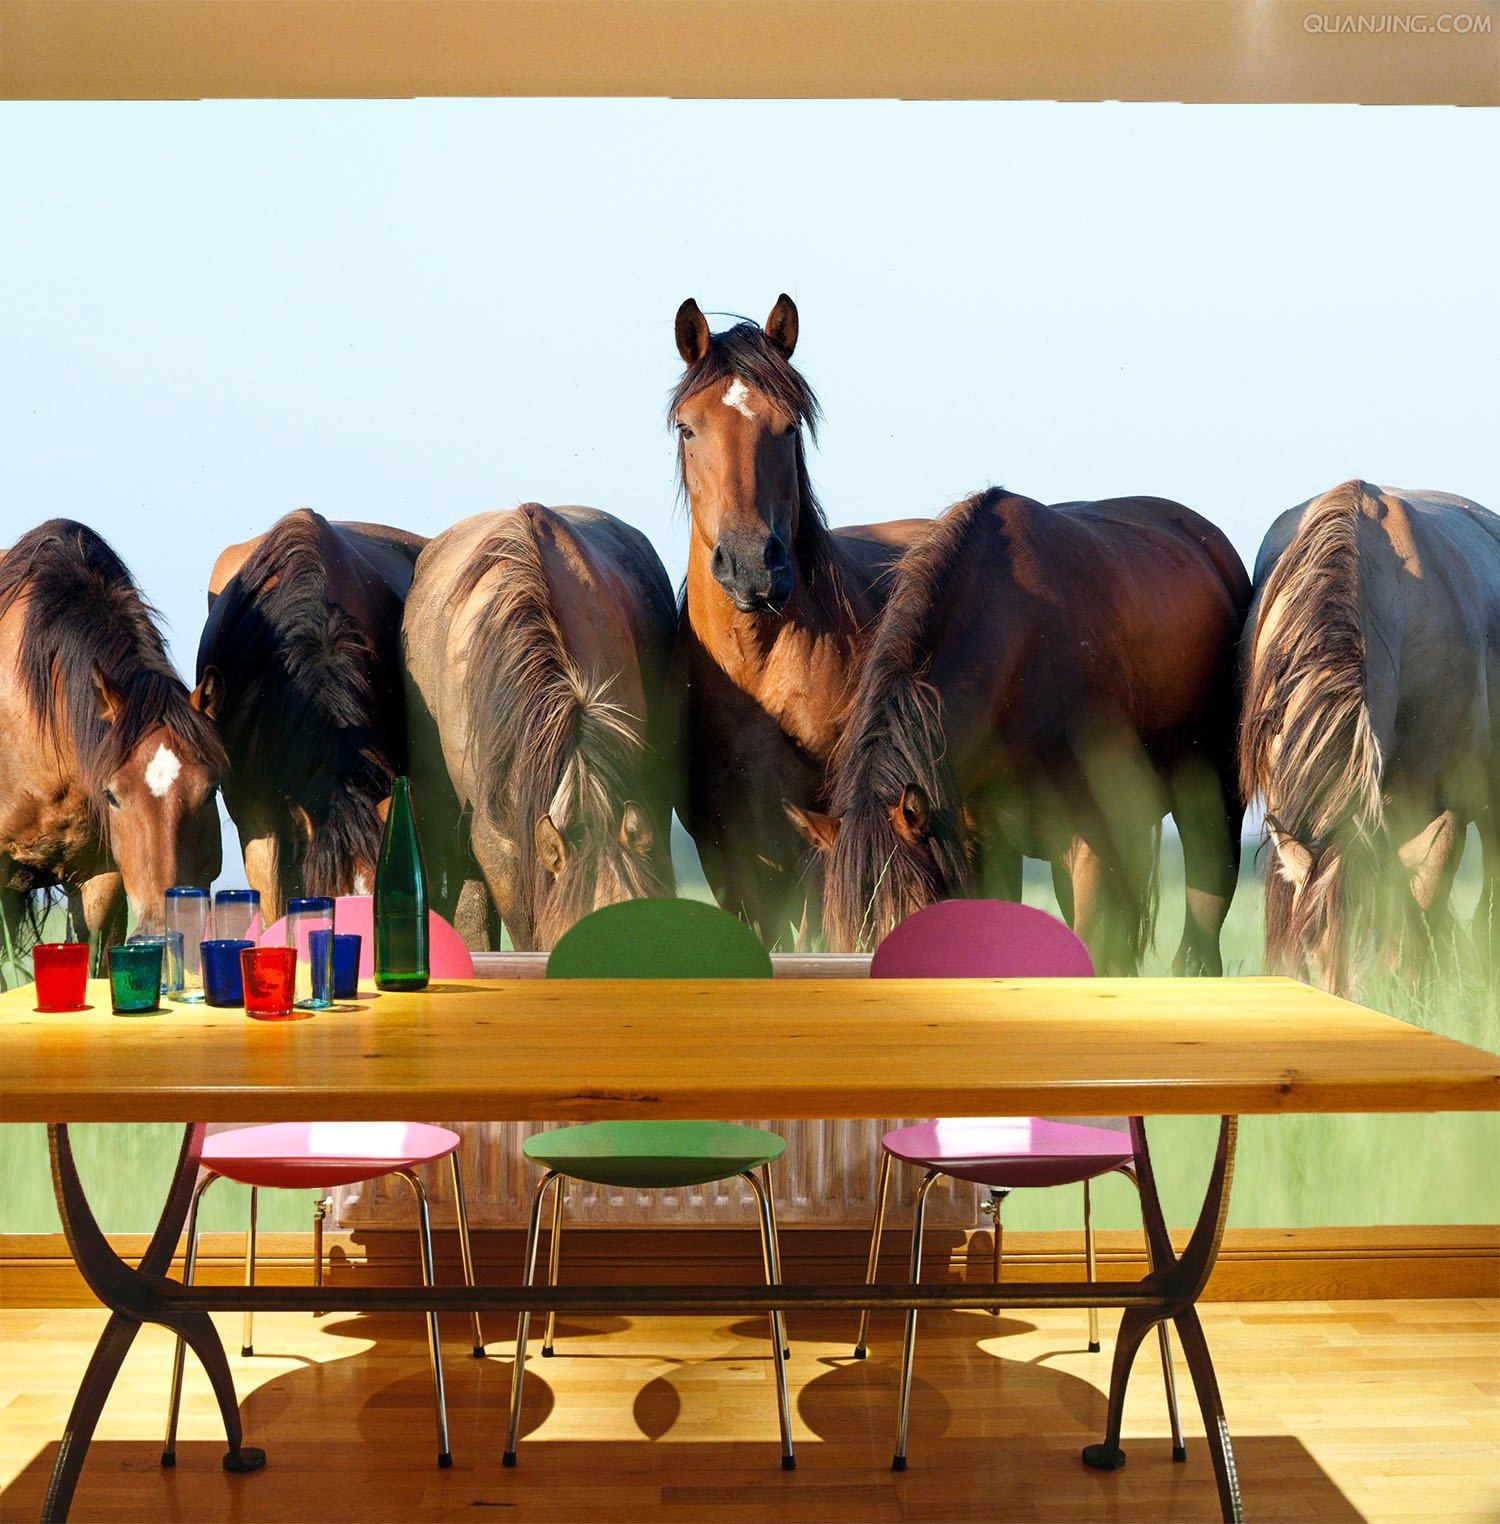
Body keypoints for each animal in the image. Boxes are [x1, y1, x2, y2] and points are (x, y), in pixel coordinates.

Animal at [671, 294, 927, 945]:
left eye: (788, 428)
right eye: (688, 427)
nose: (750, 564)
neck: (758, 667)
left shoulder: (820, 840)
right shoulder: (727, 853)